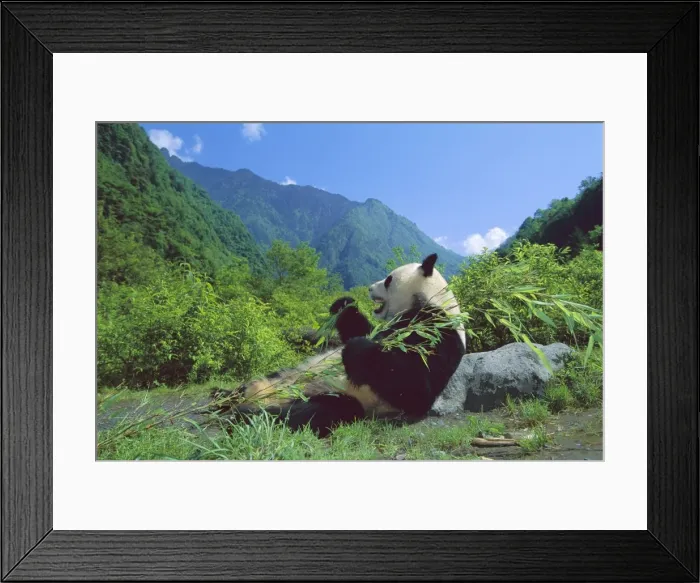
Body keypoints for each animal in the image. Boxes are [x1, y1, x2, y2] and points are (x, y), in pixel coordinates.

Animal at [210, 253, 466, 438]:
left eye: (388, 280)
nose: (369, 288)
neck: (432, 299)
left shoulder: (439, 331)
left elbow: (415, 386)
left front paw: (357, 349)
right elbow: (361, 328)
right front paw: (343, 304)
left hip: (337, 395)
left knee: (318, 411)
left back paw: (247, 414)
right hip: (286, 373)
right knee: (253, 385)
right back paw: (222, 396)